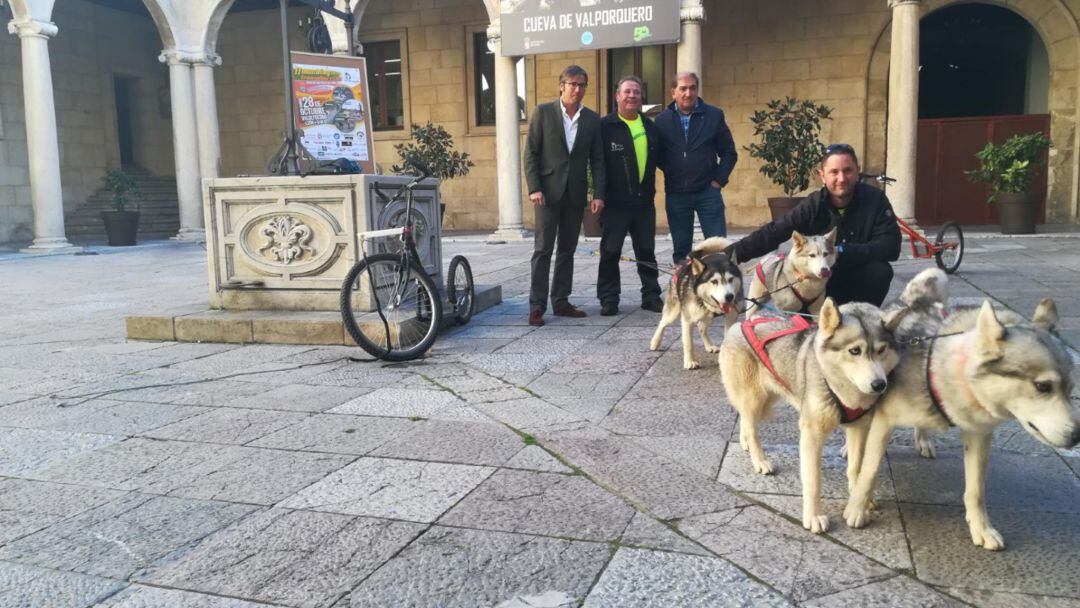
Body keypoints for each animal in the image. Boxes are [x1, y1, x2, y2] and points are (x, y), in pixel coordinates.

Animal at [648, 237, 743, 371]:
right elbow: (689, 343)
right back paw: (655, 342)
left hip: (708, 316)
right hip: (674, 312)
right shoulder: (687, 320)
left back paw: (709, 346)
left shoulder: (731, 316)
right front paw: (690, 361)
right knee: (663, 323)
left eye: (730, 279)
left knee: (702, 327)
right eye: (714, 281)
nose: (729, 297)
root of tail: (686, 262)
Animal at [721, 300, 907, 533]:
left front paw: (860, 502)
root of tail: (742, 323)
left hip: (770, 394)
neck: (840, 387)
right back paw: (760, 459)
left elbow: (856, 468)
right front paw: (814, 516)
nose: (879, 385)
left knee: (745, 419)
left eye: (881, 350)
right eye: (855, 350)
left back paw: (745, 442)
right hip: (754, 398)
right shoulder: (812, 434)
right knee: (751, 424)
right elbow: (813, 480)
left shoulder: (859, 428)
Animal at [842, 300, 1080, 552]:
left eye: (1071, 389)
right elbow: (869, 471)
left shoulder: (978, 434)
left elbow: (976, 490)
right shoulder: (884, 420)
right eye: (1042, 386)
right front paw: (857, 509)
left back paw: (924, 440)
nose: (1077, 436)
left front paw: (982, 529)